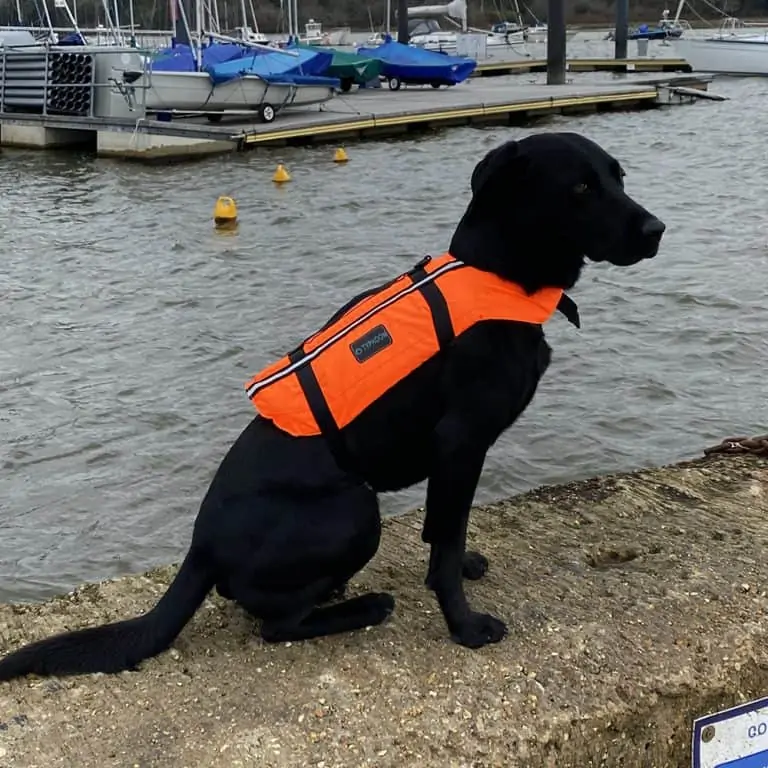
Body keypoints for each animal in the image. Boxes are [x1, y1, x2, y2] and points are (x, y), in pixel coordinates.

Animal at [0, 130, 664, 680]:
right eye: (581, 187)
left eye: (619, 177)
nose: (657, 230)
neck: (498, 272)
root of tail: (198, 551)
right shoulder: (460, 441)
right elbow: (445, 542)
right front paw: (465, 626)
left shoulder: (457, 459)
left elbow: (446, 529)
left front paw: (464, 569)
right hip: (355, 508)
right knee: (274, 625)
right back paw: (367, 605)